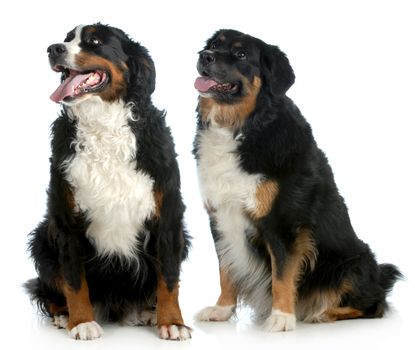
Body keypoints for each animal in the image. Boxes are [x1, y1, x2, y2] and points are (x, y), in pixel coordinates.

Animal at [26, 23, 193, 340]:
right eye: (67, 39)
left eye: (94, 42)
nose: (53, 49)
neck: (103, 125)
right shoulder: (66, 220)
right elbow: (74, 281)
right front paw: (81, 322)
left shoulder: (167, 216)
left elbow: (168, 279)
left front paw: (172, 322)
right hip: (43, 236)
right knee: (48, 290)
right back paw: (63, 315)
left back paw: (147, 312)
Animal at [193, 29, 402, 330]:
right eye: (212, 45)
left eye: (241, 53)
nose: (204, 56)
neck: (241, 127)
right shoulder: (221, 217)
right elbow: (226, 269)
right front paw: (222, 309)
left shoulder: (284, 221)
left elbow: (282, 274)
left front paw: (281, 317)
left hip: (352, 264)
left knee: (374, 305)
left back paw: (322, 313)